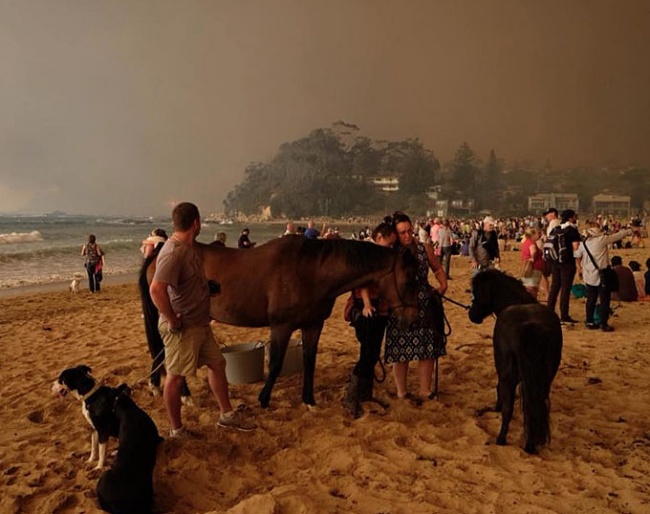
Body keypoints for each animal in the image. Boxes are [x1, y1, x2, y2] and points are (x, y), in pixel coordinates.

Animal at [139, 234, 418, 406]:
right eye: (408, 281)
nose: (411, 320)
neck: (310, 270)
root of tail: (160, 251)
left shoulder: (313, 326)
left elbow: (309, 362)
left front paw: (309, 401)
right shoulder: (281, 327)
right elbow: (274, 364)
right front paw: (263, 400)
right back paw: (183, 395)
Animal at [466, 268, 560, 452]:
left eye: (477, 292)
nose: (471, 315)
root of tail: (530, 326)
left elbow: (500, 392)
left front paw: (496, 407)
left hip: (508, 374)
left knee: (509, 407)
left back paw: (501, 439)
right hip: (546, 378)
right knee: (535, 406)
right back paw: (531, 444)